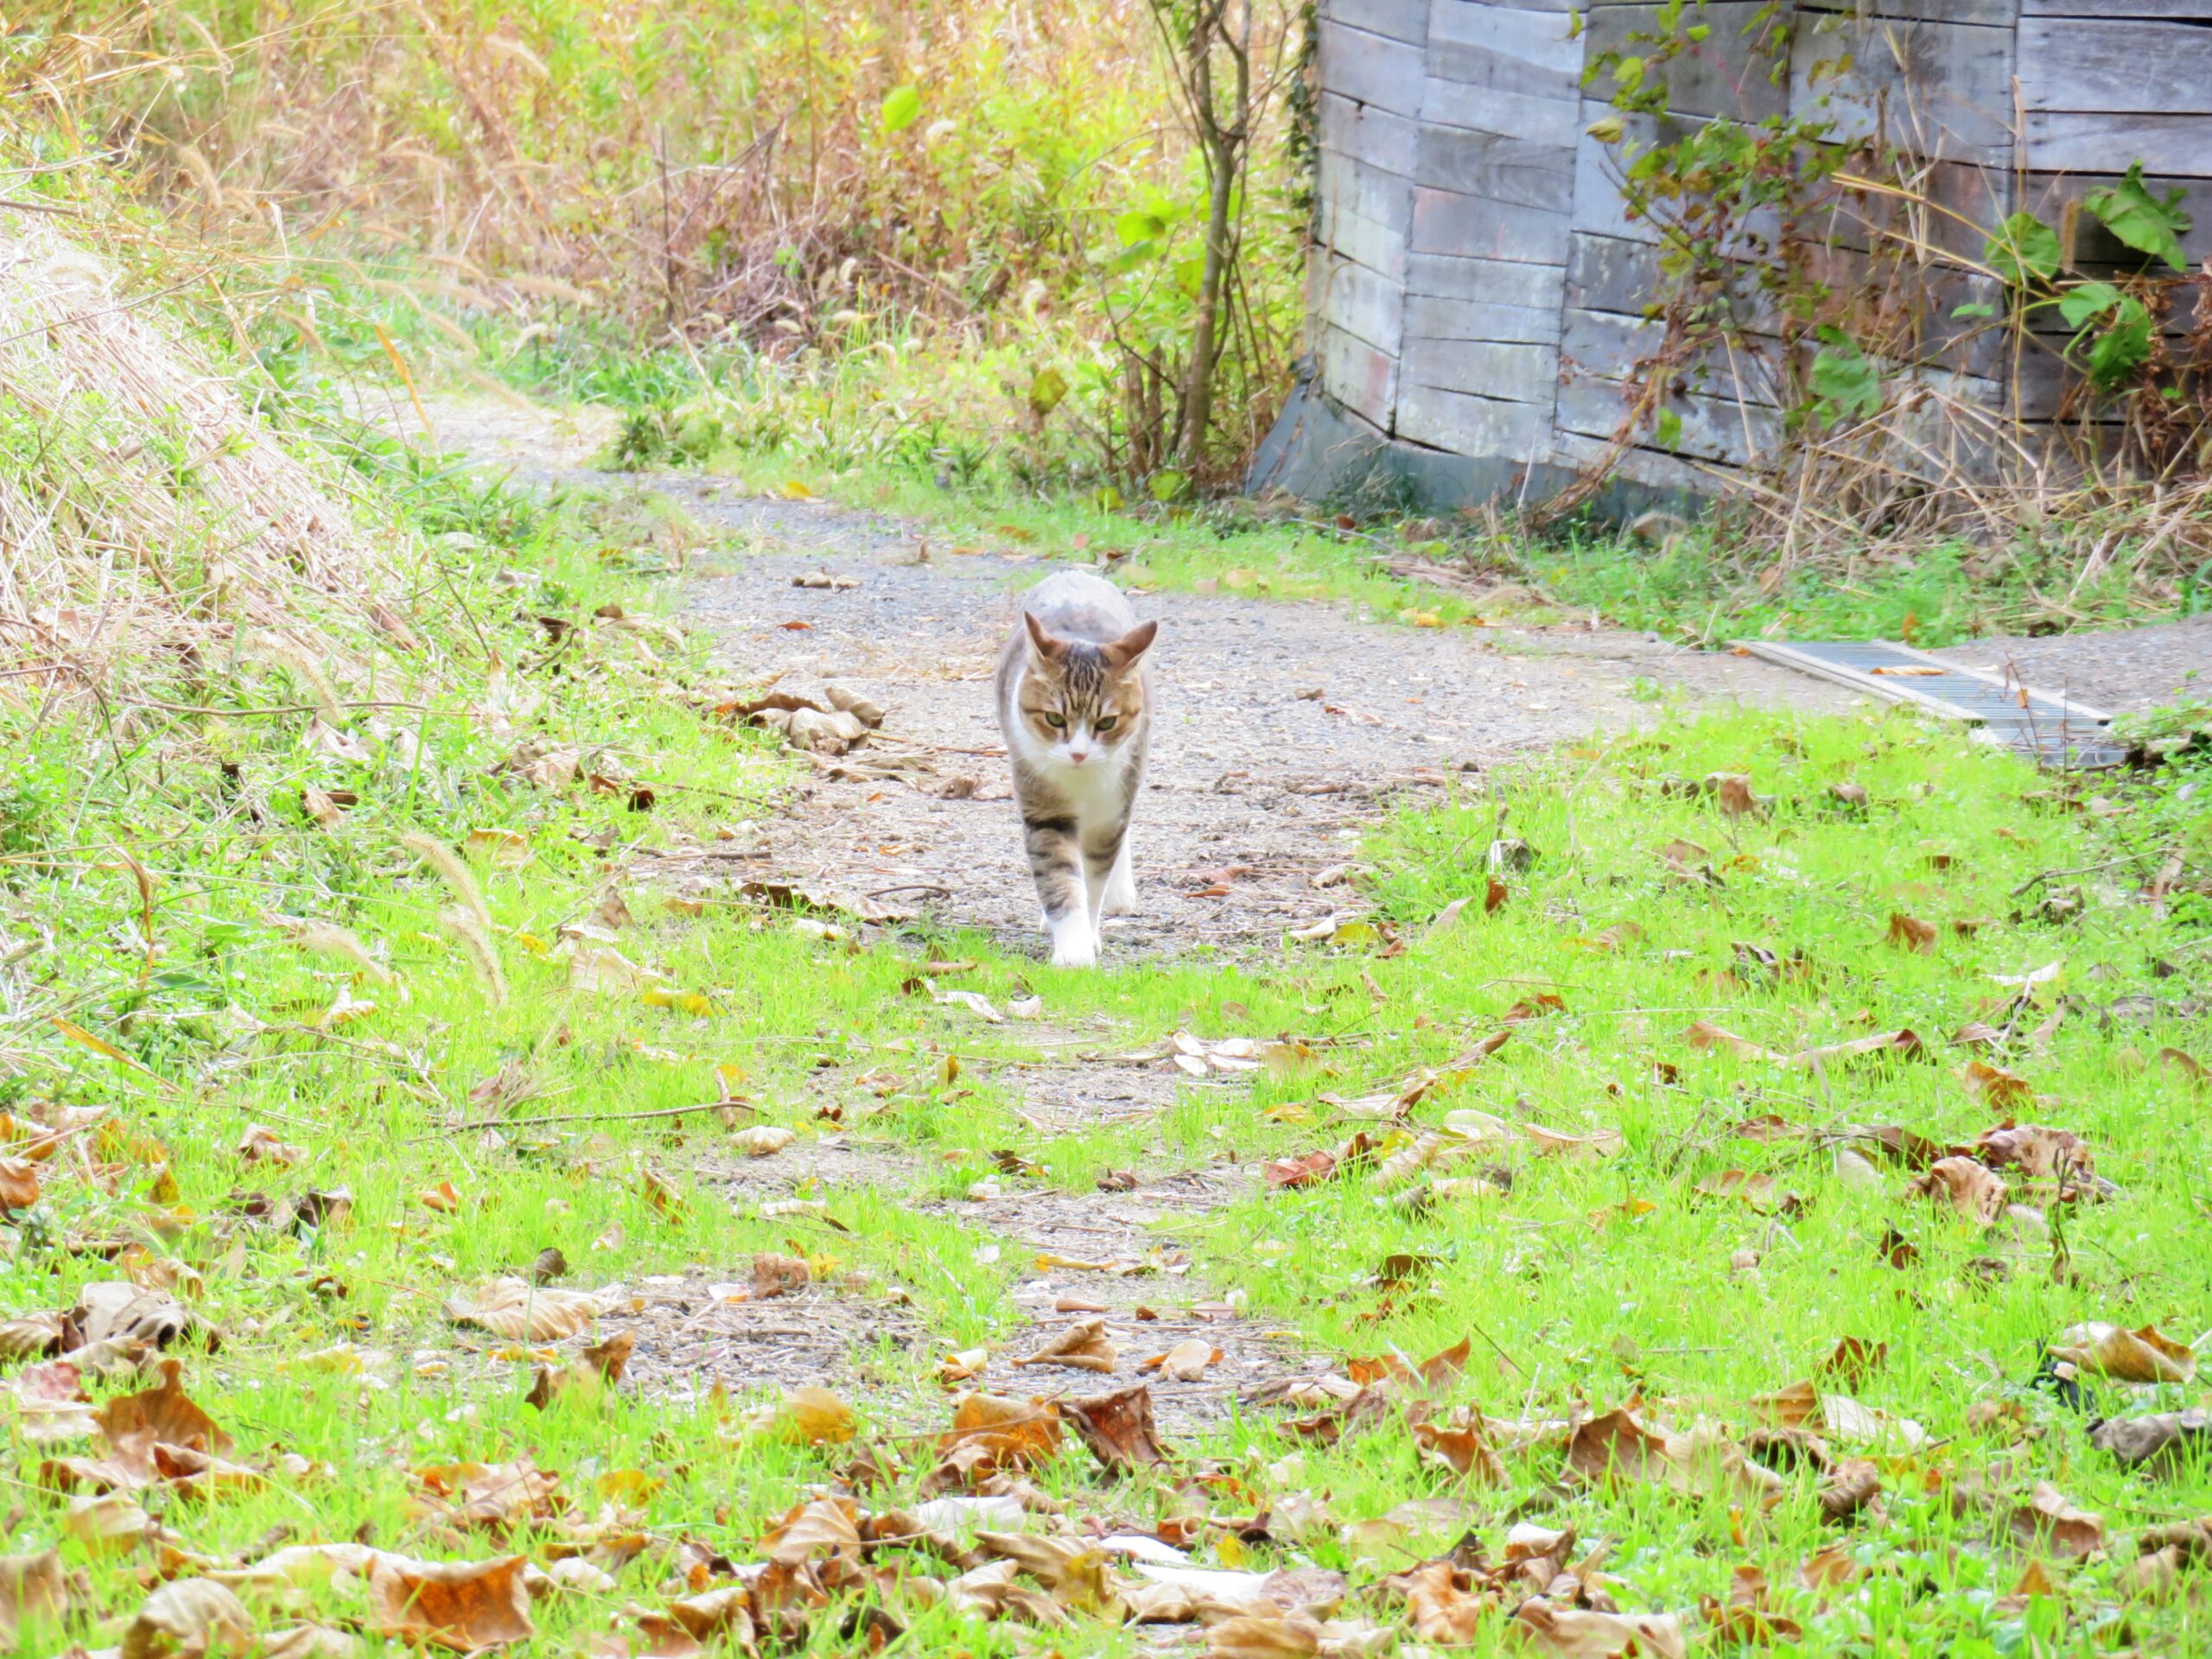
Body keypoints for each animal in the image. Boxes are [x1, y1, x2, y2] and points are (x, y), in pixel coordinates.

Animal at [990, 570, 1159, 969]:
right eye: (1054, 718)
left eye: (1107, 722)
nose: (1079, 753)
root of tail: (1076, 572)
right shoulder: (1044, 807)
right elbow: (1060, 876)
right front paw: (1073, 948)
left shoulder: (1111, 810)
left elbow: (1094, 878)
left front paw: (1088, 934)